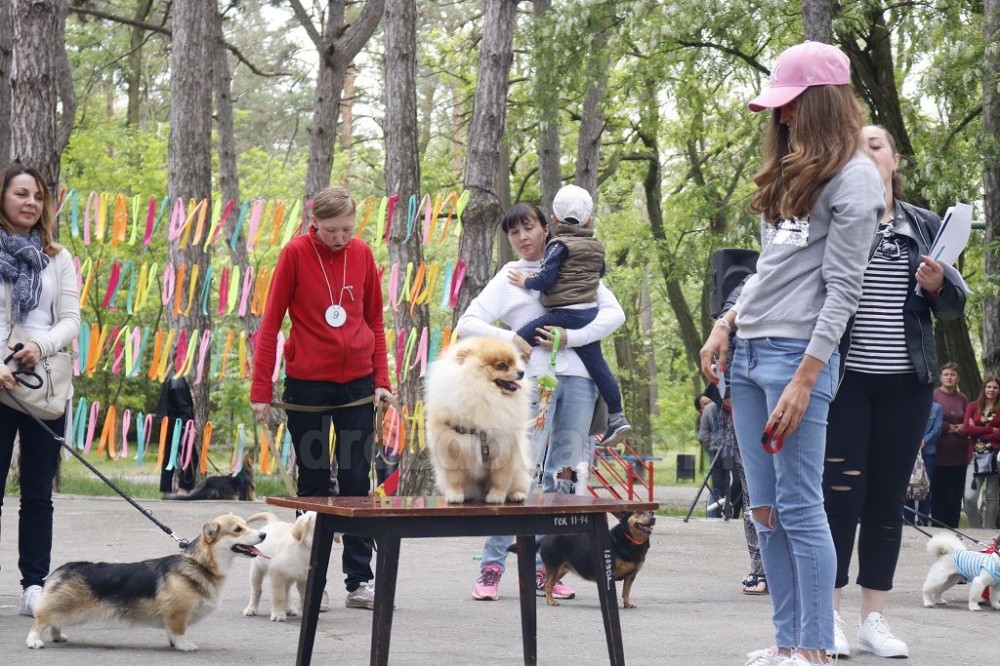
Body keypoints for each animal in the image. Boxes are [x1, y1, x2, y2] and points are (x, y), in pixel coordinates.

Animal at [27, 512, 268, 648]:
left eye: (246, 525)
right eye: (238, 529)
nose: (264, 535)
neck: (200, 563)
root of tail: (63, 569)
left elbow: (172, 633)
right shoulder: (177, 613)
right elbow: (179, 632)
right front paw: (185, 646)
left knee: (54, 623)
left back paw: (59, 637)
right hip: (62, 607)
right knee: (40, 621)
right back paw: (34, 641)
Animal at [426, 334, 536, 500]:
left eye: (515, 363)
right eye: (501, 365)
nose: (521, 372)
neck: (483, 394)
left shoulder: (504, 447)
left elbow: (501, 478)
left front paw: (496, 496)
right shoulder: (451, 447)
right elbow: (454, 478)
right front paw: (454, 495)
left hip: (519, 473)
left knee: (519, 483)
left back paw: (517, 495)